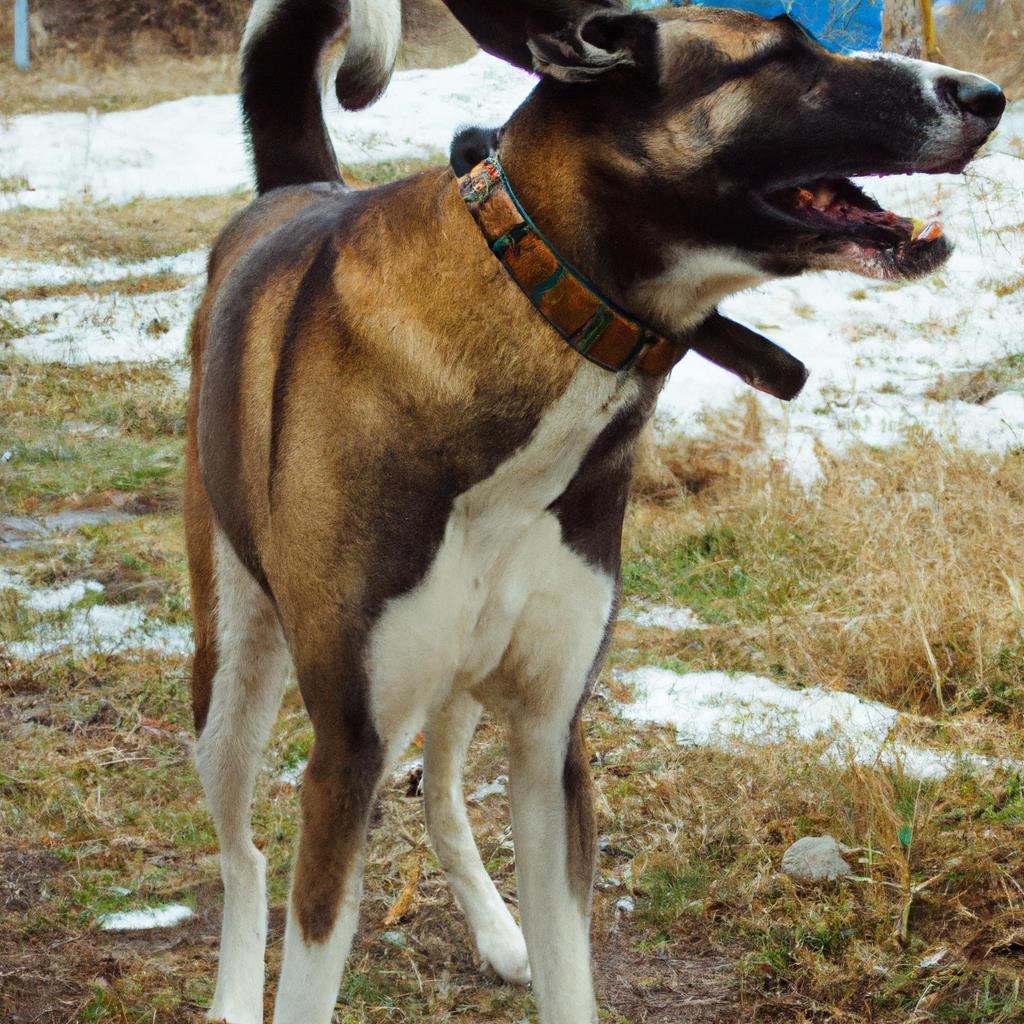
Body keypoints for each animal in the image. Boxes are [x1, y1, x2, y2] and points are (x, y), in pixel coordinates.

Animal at [186, 4, 1007, 1019]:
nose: (987, 95)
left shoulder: (550, 743)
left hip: (460, 683)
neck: (539, 293)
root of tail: (298, 188)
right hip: (231, 676)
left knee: (440, 795)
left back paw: (496, 931)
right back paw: (231, 992)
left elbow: (569, 971)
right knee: (244, 854)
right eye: (783, 54)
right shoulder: (347, 753)